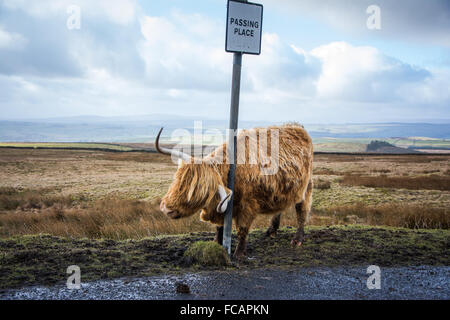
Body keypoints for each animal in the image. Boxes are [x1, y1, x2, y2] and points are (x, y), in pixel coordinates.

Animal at [157, 124, 312, 258]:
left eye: (198, 191)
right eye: (177, 179)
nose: (166, 209)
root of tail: (297, 127)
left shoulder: (247, 206)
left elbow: (242, 229)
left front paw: (238, 254)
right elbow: (219, 228)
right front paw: (216, 244)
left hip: (306, 188)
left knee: (302, 212)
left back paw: (297, 239)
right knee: (280, 208)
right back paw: (271, 231)